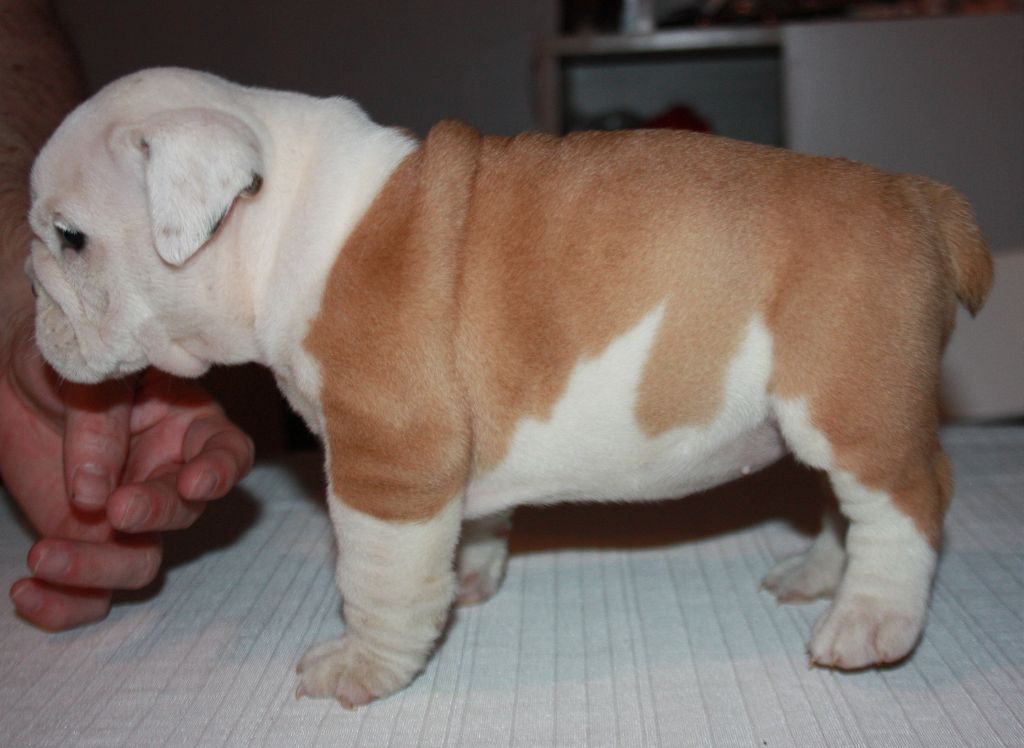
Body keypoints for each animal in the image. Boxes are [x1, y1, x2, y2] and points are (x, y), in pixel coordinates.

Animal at [27, 68, 992, 708]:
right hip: (825, 413)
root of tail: (922, 198)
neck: (288, 226)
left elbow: (376, 578)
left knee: (908, 501)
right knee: (845, 504)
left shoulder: (390, 463)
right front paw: (467, 575)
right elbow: (474, 521)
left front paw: (362, 667)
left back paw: (871, 620)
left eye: (70, 238)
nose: (29, 295)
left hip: (854, 401)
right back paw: (822, 575)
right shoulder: (449, 458)